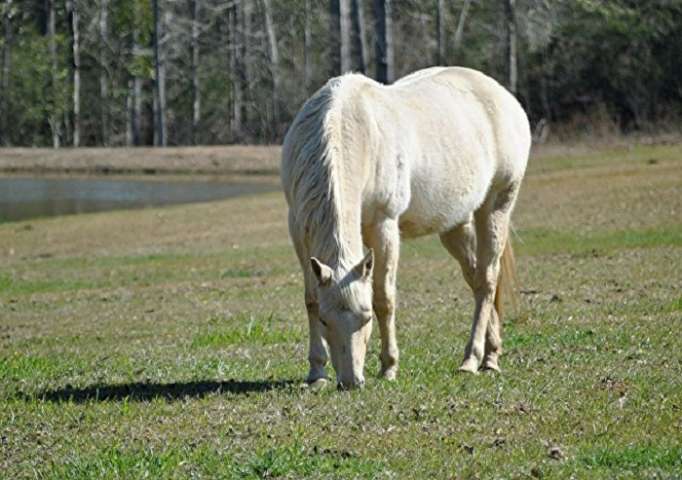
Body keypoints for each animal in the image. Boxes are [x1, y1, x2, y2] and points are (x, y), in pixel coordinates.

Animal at [281, 67, 530, 389]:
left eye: (365, 319)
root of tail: (504, 96)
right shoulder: (299, 231)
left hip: (497, 206)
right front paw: (317, 372)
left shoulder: (384, 225)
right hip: (456, 226)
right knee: (476, 278)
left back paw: (473, 360)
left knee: (487, 280)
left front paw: (389, 367)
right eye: (325, 321)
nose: (351, 382)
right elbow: (310, 298)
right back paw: (491, 355)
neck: (347, 129)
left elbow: (383, 297)